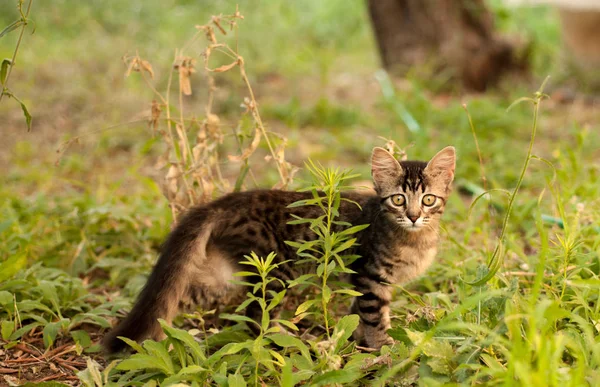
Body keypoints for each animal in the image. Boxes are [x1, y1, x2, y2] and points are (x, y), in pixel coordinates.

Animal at [104, 146, 454, 354]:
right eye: (398, 199)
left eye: (428, 200)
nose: (413, 215)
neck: (415, 239)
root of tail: (229, 201)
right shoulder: (370, 278)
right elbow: (374, 317)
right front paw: (384, 348)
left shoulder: (366, 284)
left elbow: (358, 316)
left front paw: (357, 341)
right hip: (274, 270)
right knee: (255, 318)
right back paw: (284, 344)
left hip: (220, 278)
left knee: (170, 300)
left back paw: (150, 341)